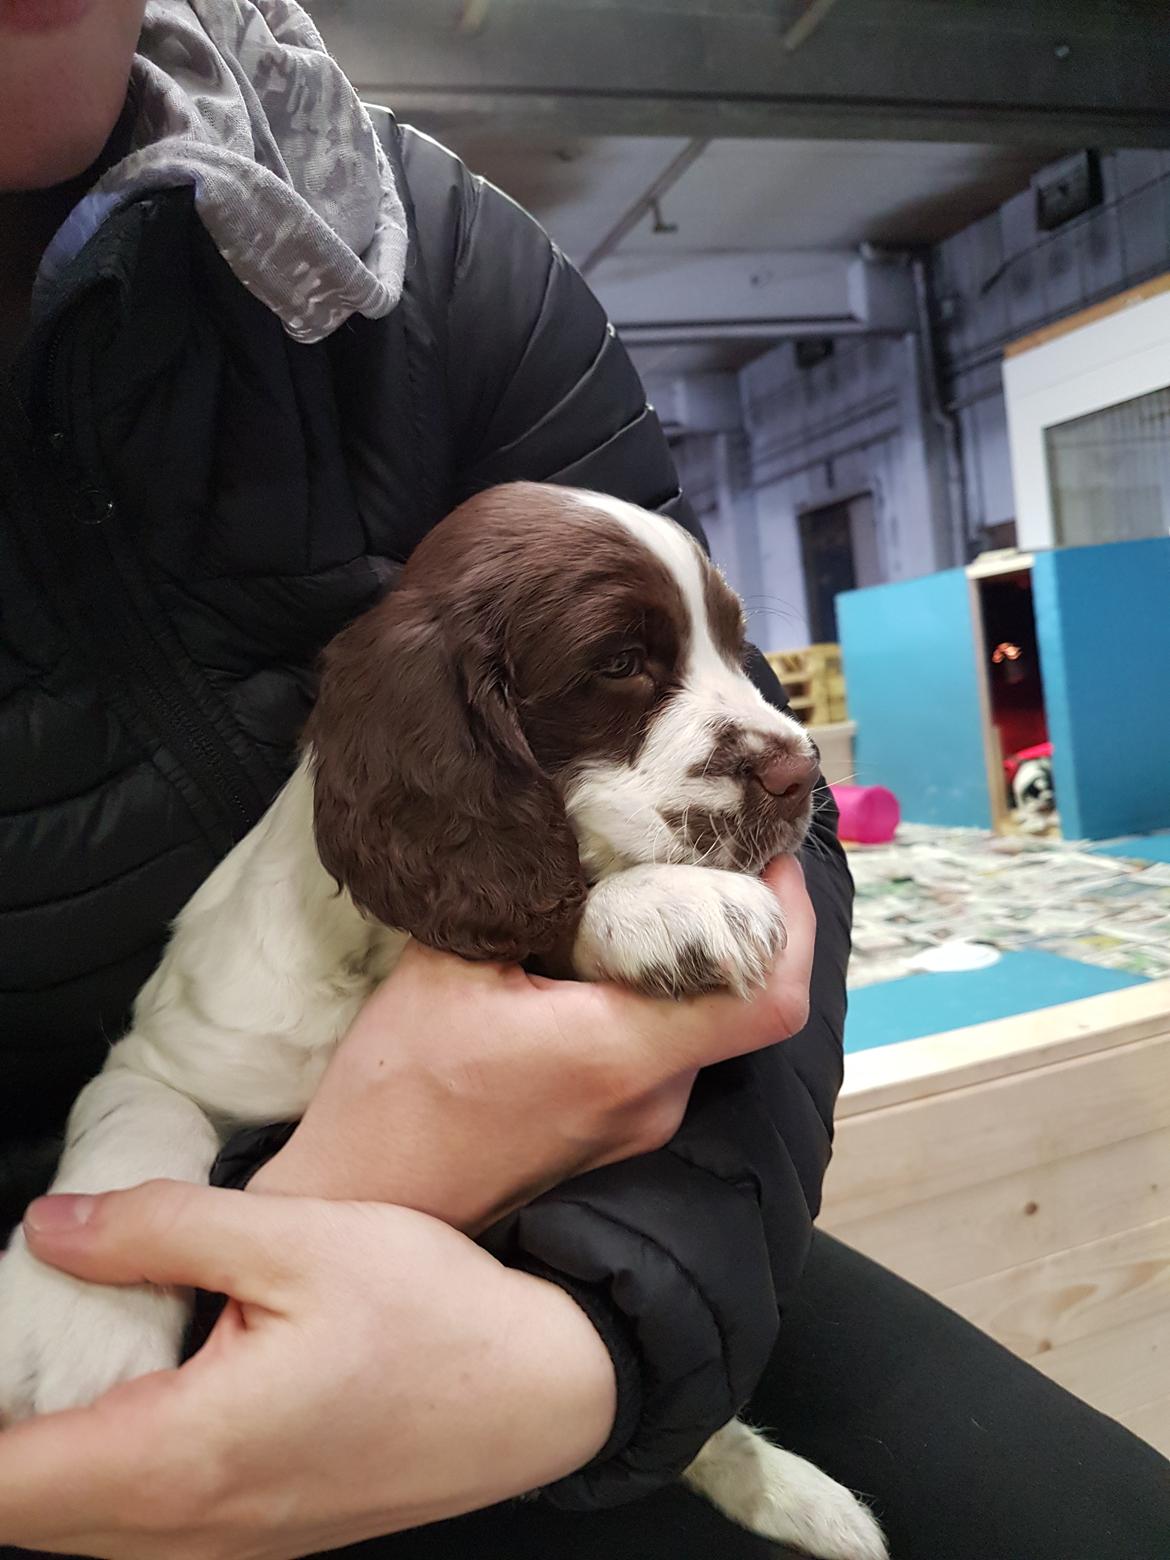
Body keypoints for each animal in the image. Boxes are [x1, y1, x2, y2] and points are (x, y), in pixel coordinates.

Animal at [0, 480, 886, 1553]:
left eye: (734, 641)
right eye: (619, 663)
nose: (804, 776)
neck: (370, 972)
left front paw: (656, 907)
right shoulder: (162, 1055)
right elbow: (142, 1125)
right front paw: (71, 1328)